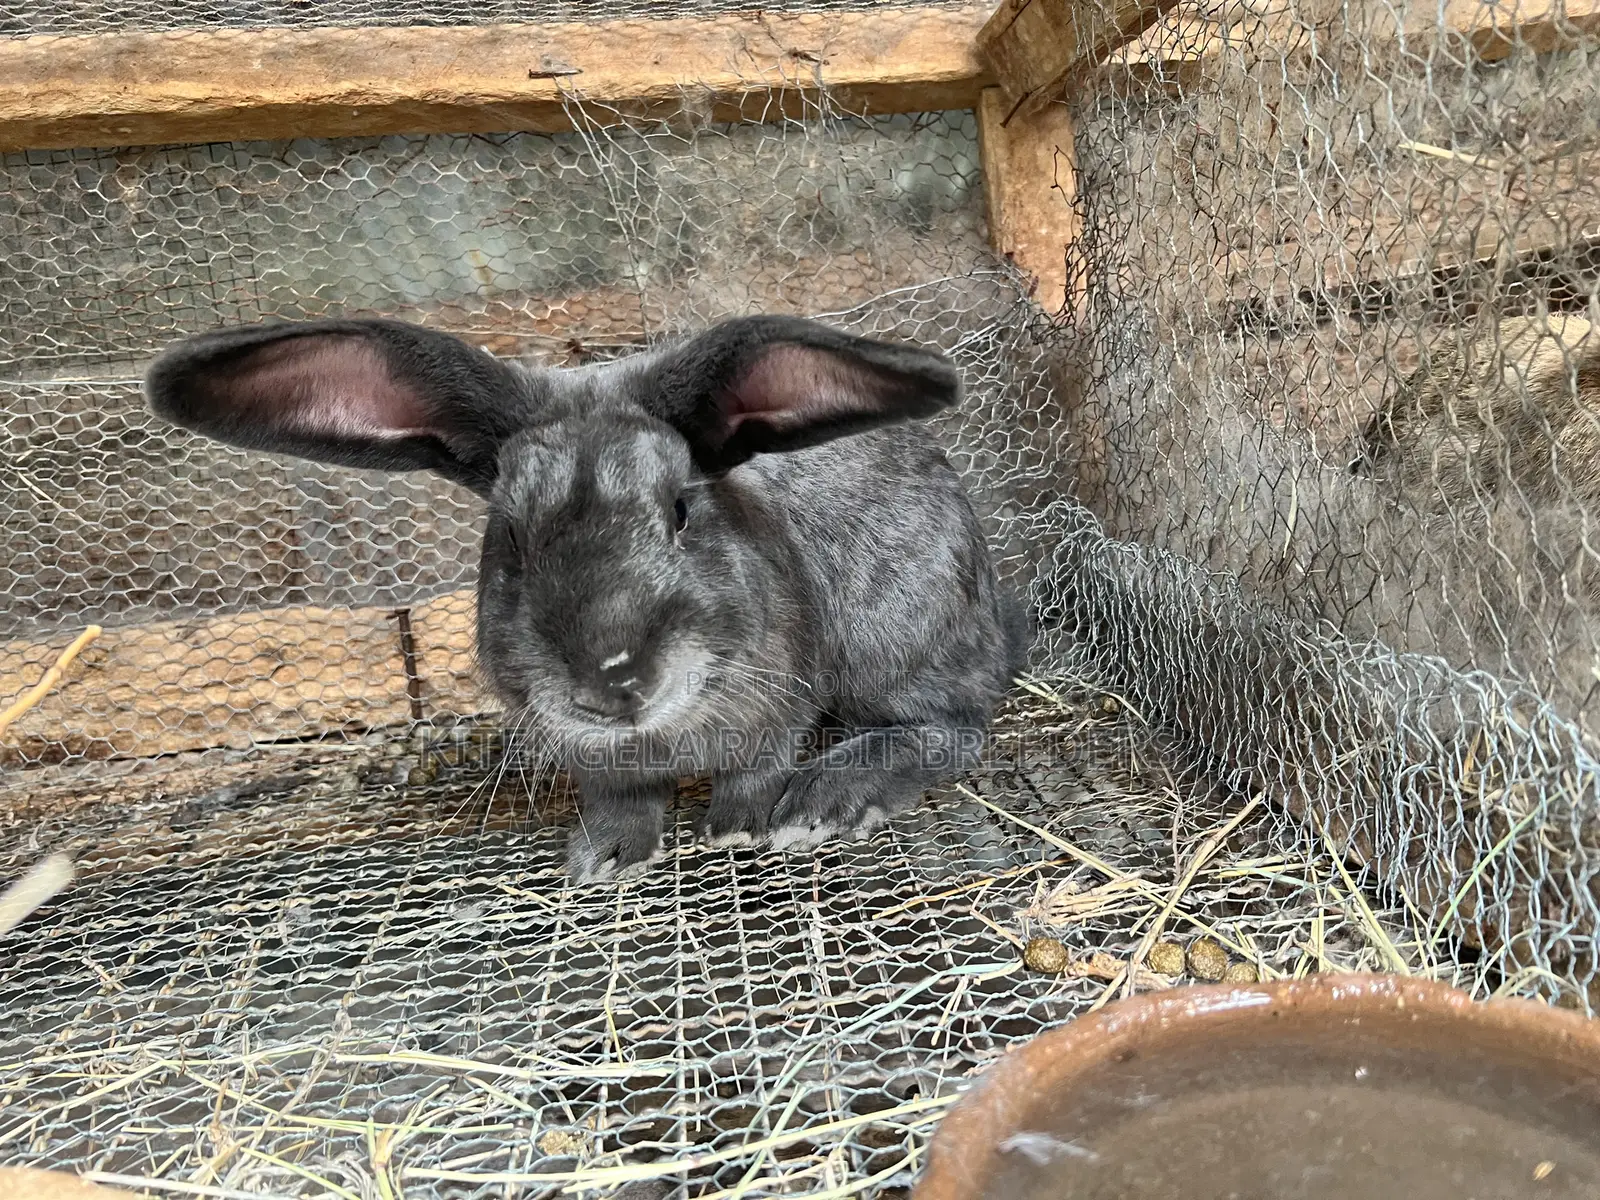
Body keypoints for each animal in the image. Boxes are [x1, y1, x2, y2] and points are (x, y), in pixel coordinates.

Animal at [145, 315, 1031, 883]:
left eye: (681, 508)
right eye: (510, 536)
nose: (611, 680)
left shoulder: (780, 705)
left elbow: (756, 769)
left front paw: (737, 829)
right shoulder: (595, 761)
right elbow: (618, 802)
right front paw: (603, 859)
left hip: (899, 637)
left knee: (952, 727)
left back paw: (831, 797)